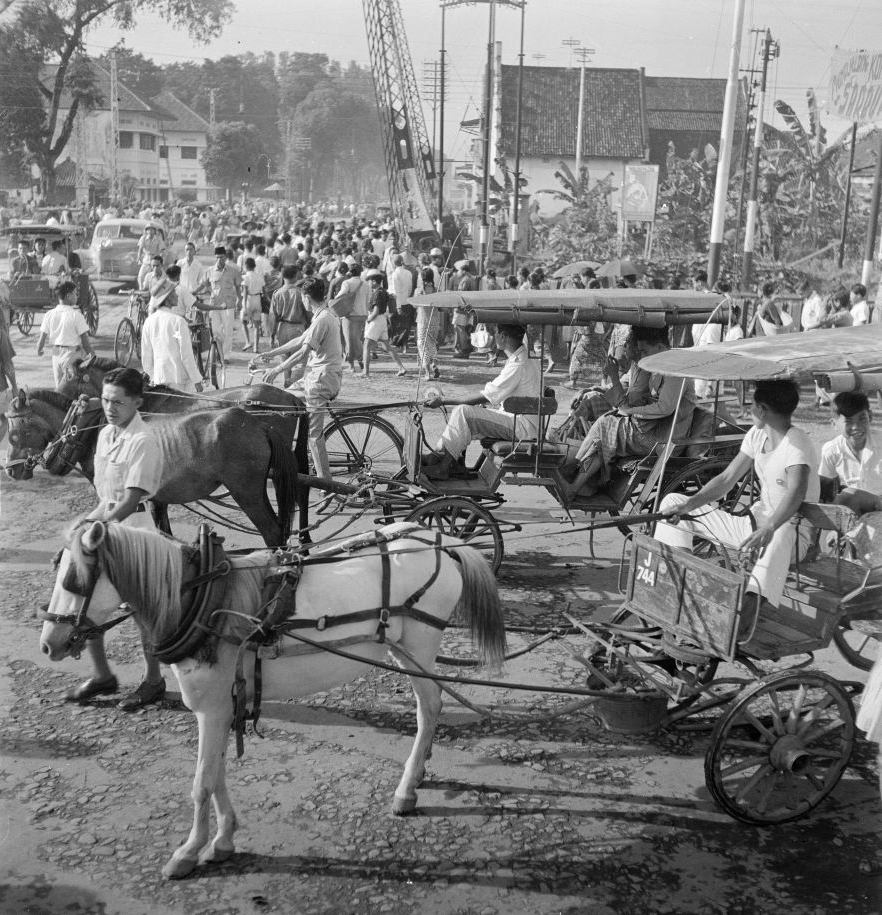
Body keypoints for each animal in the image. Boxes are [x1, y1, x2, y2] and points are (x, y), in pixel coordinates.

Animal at [3, 390, 300, 548]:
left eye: (14, 433)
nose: (10, 470)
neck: (90, 431)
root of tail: (260, 425)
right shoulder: (155, 499)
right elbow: (163, 533)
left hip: (245, 490)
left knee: (272, 532)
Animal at [41, 520, 506, 876]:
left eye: (74, 581)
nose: (49, 644)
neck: (204, 602)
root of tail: (440, 541)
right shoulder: (222, 706)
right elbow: (218, 775)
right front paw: (223, 839)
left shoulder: (211, 709)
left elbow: (201, 783)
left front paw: (188, 852)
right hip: (403, 650)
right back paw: (421, 769)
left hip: (420, 649)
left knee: (430, 708)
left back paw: (407, 788)